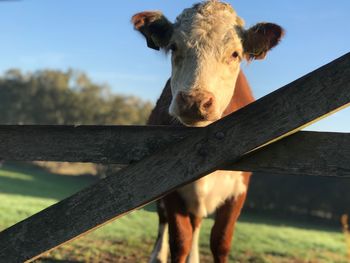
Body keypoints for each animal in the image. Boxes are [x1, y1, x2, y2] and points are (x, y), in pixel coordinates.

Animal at [132, 1, 284, 262]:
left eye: (235, 54)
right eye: (174, 47)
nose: (194, 101)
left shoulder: (239, 191)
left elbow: (220, 241)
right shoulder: (168, 187)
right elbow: (179, 240)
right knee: (165, 221)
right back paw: (157, 255)